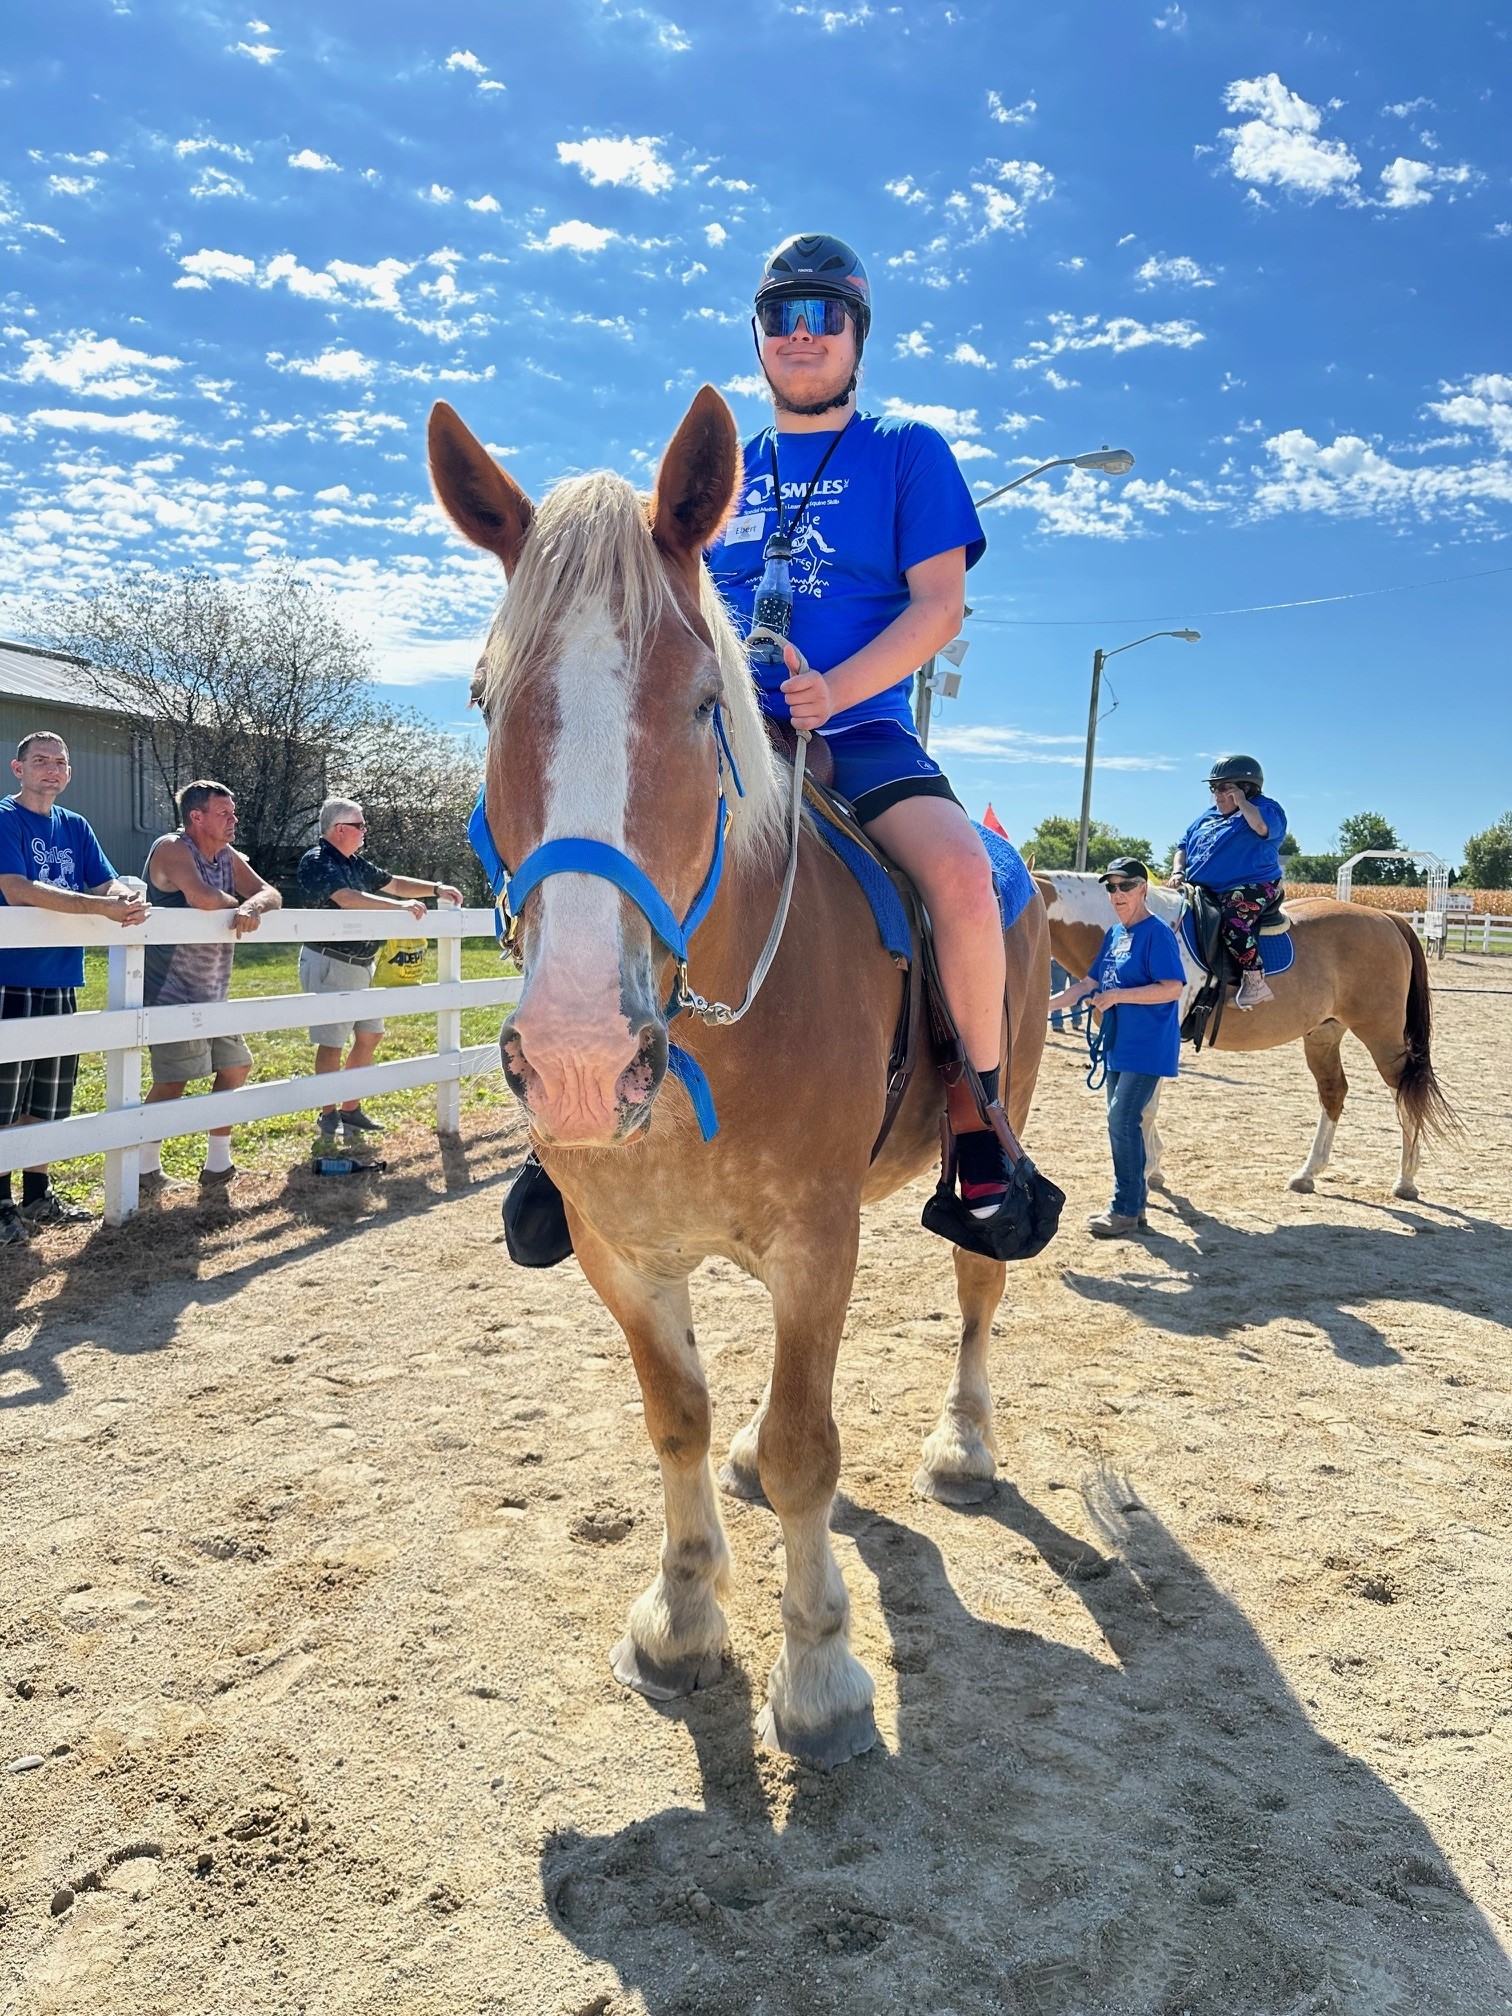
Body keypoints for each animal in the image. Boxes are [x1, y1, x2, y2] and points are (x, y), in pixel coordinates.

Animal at [428, 386, 1052, 1768]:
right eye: (488, 699)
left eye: (704, 700)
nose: (579, 1056)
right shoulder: (623, 1255)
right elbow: (683, 1418)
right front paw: (679, 1619)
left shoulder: (816, 1243)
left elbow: (815, 1443)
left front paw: (817, 1669)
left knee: (977, 1293)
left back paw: (964, 1444)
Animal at [1035, 870, 1454, 1199]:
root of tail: (1386, 916)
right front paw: (1152, 1168)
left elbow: (1143, 1108)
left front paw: (1147, 1170)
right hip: (1323, 1035)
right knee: (1334, 1093)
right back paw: (1308, 1174)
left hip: (1382, 1036)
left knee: (1407, 1094)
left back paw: (1406, 1180)